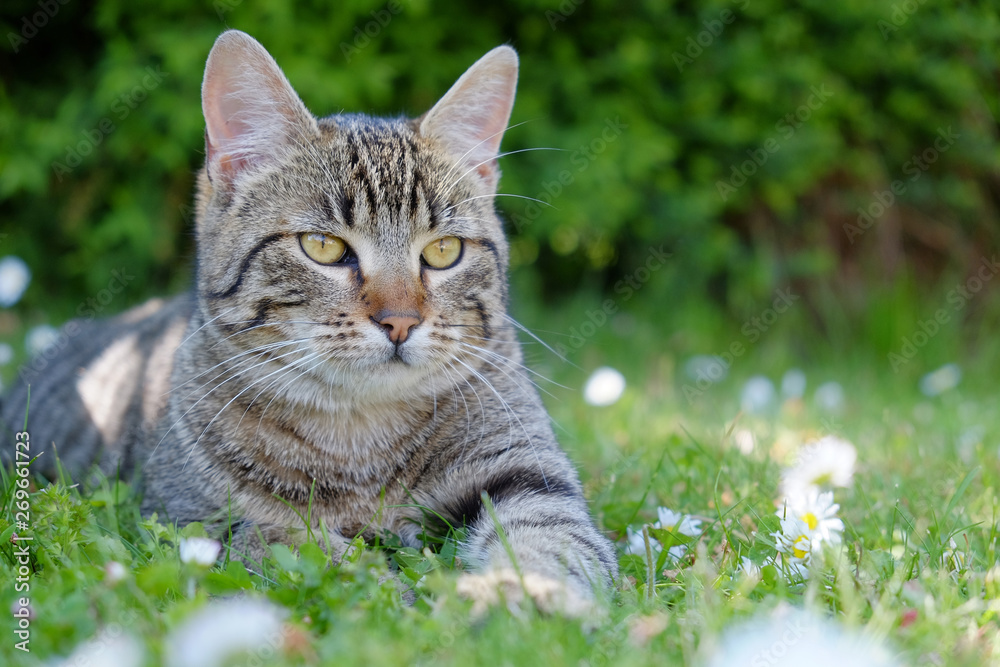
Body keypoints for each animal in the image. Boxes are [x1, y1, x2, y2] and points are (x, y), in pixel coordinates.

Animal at [0, 30, 616, 616]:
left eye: (443, 251)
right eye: (323, 247)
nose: (400, 322)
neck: (362, 441)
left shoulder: (526, 473)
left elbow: (552, 541)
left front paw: (524, 597)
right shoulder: (198, 520)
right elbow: (310, 551)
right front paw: (399, 599)